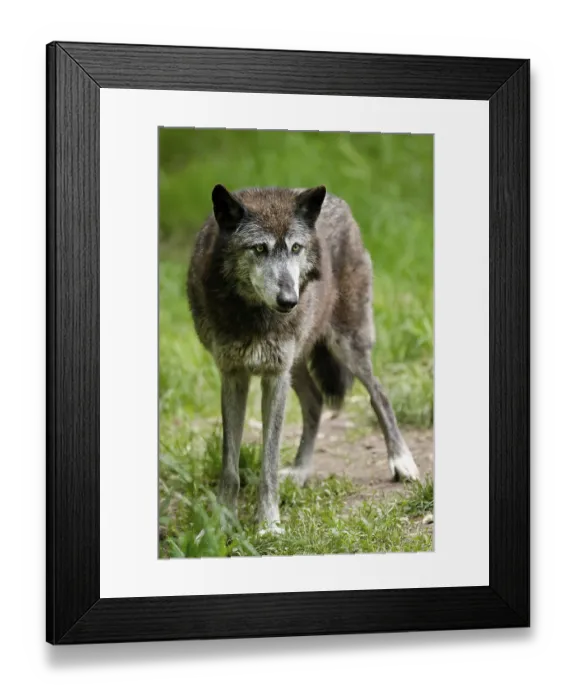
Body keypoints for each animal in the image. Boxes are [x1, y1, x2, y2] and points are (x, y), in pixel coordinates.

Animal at [187, 184, 420, 534]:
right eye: (259, 248)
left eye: (296, 248)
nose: (289, 301)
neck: (254, 316)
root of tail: (337, 199)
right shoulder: (233, 375)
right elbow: (230, 465)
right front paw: (221, 523)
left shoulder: (274, 377)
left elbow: (268, 461)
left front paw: (268, 524)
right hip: (297, 365)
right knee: (315, 401)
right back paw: (300, 471)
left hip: (344, 346)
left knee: (378, 392)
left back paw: (401, 461)